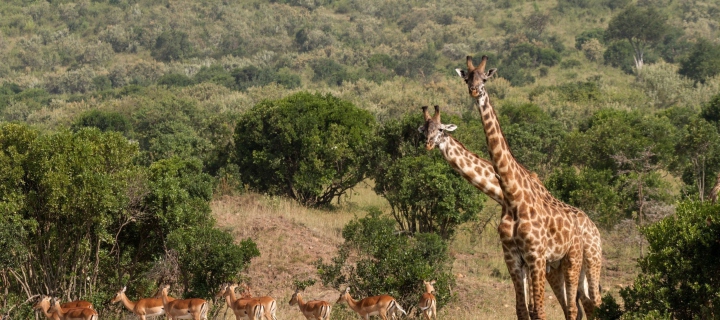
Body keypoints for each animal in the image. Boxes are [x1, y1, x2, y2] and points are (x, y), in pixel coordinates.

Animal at [456, 55, 592, 320]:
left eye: (484, 78)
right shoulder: (513, 258)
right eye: (467, 78)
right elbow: (522, 310)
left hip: (572, 258)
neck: (513, 197)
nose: (474, 91)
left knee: (573, 307)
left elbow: (538, 311)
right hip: (557, 264)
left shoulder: (536, 256)